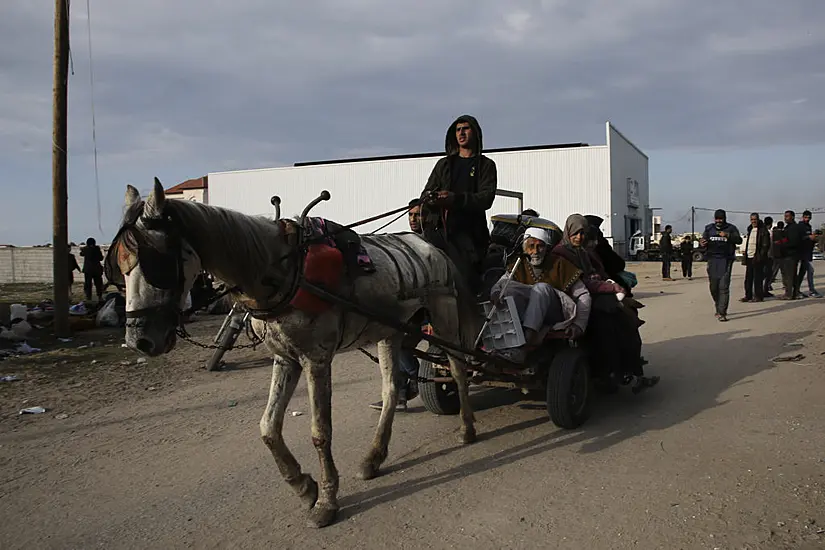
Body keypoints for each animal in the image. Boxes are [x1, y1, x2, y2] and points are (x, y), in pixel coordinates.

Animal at [112, 179, 480, 528]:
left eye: (155, 261)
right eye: (119, 267)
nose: (138, 340)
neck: (285, 271)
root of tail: (431, 246)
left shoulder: (316, 358)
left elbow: (320, 432)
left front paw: (327, 501)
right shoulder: (285, 358)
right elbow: (268, 427)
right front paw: (303, 486)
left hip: (444, 317)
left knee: (457, 368)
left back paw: (467, 428)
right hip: (390, 331)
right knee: (391, 388)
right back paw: (373, 457)